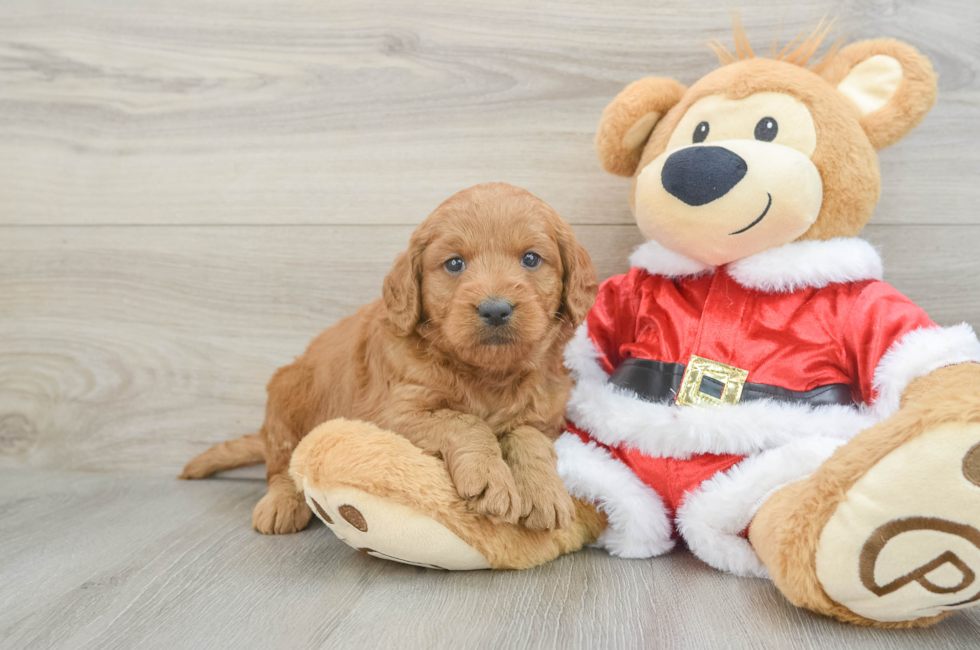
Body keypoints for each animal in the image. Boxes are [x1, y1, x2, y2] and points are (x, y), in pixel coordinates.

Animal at [183, 181, 596, 532]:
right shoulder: (390, 414)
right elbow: (465, 421)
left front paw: (545, 493)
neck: (487, 374)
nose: (495, 309)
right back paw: (281, 505)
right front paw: (490, 477)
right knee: (283, 465)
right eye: (454, 264)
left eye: (531, 259)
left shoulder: (547, 415)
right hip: (286, 397)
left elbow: (528, 435)